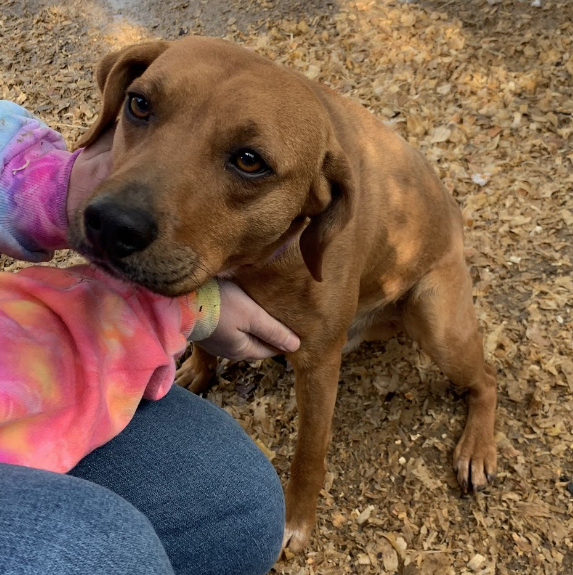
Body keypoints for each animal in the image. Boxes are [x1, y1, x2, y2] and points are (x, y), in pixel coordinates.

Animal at [69, 37, 494, 552]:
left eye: (250, 161)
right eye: (139, 104)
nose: (111, 225)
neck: (260, 256)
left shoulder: (318, 365)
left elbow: (309, 453)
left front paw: (295, 520)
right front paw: (199, 369)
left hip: (435, 320)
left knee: (488, 378)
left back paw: (477, 448)